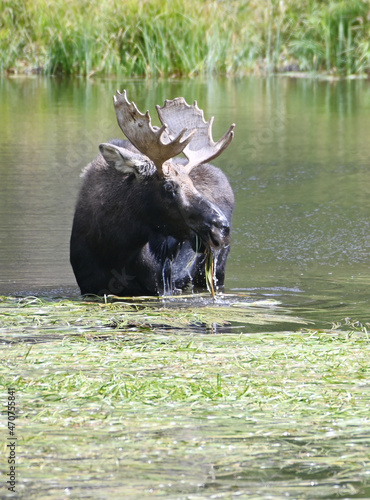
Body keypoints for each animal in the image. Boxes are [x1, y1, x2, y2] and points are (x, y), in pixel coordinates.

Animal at [70, 90, 234, 294]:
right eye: (169, 186)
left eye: (192, 183)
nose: (221, 229)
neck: (113, 248)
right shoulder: (88, 285)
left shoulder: (161, 284)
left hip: (216, 268)